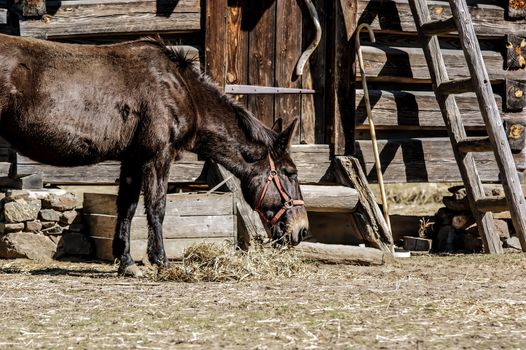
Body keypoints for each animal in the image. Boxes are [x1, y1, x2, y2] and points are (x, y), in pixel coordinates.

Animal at [0, 33, 312, 276]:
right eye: (290, 173)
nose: (302, 230)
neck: (181, 90)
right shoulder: (158, 156)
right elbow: (157, 207)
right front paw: (160, 260)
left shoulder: (132, 159)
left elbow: (127, 207)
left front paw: (126, 262)